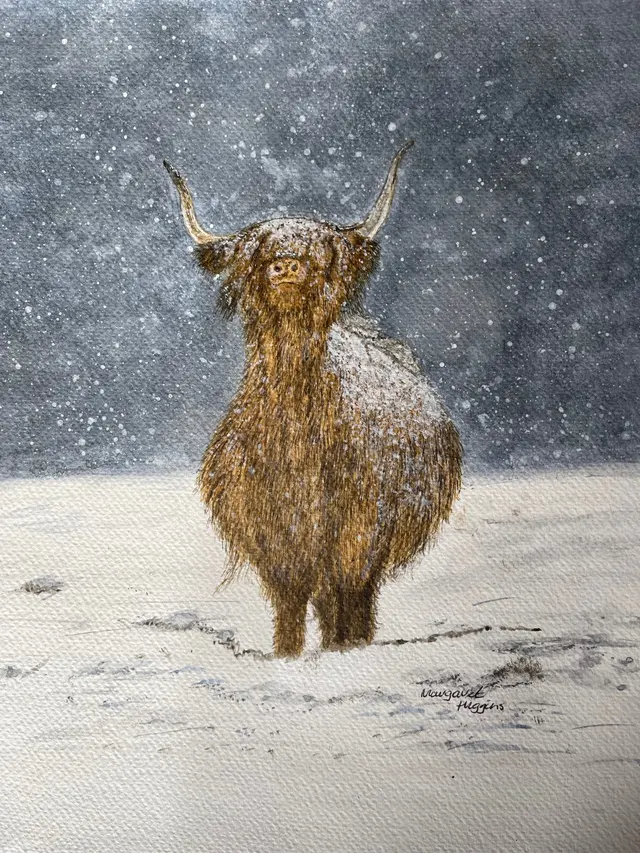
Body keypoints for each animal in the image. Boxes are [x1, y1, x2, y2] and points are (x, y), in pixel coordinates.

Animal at [164, 142, 462, 657]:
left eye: (318, 247)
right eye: (259, 250)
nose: (286, 265)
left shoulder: (358, 529)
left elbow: (346, 596)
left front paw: (343, 652)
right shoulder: (273, 534)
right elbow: (289, 604)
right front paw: (287, 654)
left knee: (355, 598)